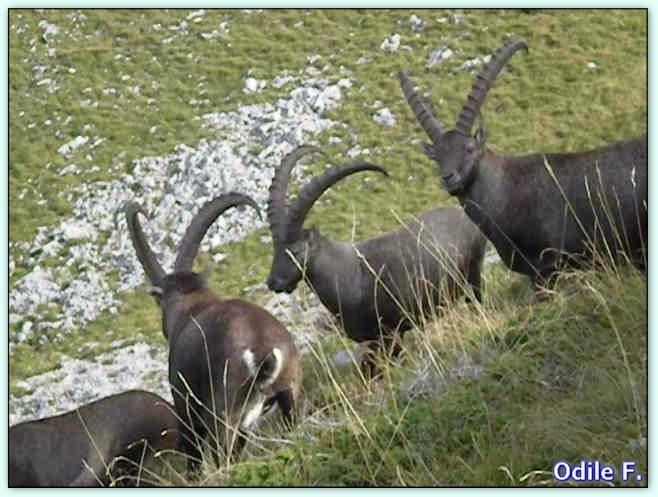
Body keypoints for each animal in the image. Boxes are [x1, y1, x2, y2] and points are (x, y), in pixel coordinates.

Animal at [124, 193, 300, 472]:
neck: (191, 307)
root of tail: (262, 350)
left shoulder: (185, 407)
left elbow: (194, 457)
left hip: (223, 415)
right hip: (288, 395)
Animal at [266, 146, 486, 376]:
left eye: (296, 251)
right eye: (276, 249)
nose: (274, 282)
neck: (348, 272)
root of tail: (466, 217)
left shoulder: (390, 332)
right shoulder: (372, 341)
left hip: (472, 275)